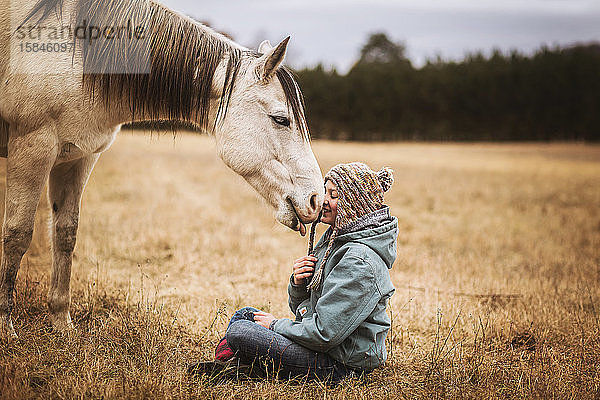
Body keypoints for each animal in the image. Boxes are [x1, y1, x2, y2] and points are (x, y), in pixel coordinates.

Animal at [0, 0, 324, 338]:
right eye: (280, 119)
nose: (316, 198)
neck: (80, 54)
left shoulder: (79, 158)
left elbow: (65, 234)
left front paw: (62, 325)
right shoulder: (33, 147)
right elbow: (17, 234)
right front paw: (6, 328)